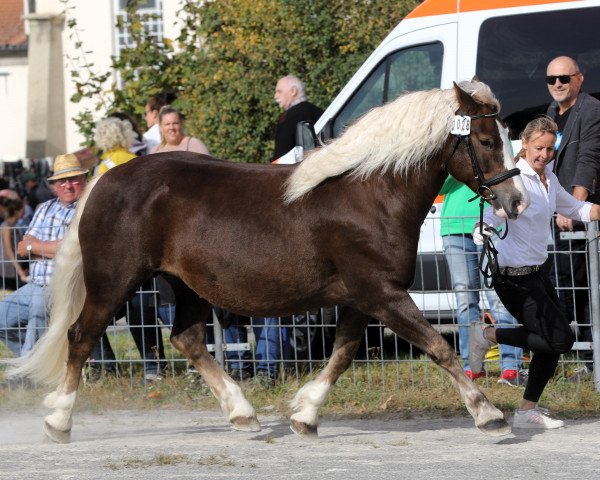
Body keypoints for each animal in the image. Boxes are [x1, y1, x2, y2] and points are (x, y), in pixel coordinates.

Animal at [10, 79, 528, 442]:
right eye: (486, 140)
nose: (516, 200)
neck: (371, 192)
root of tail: (105, 180)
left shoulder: (361, 298)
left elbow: (342, 355)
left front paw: (305, 415)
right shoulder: (382, 294)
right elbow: (438, 347)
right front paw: (489, 416)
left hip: (186, 286)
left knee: (187, 340)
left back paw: (243, 414)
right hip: (114, 281)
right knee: (81, 337)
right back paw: (59, 421)